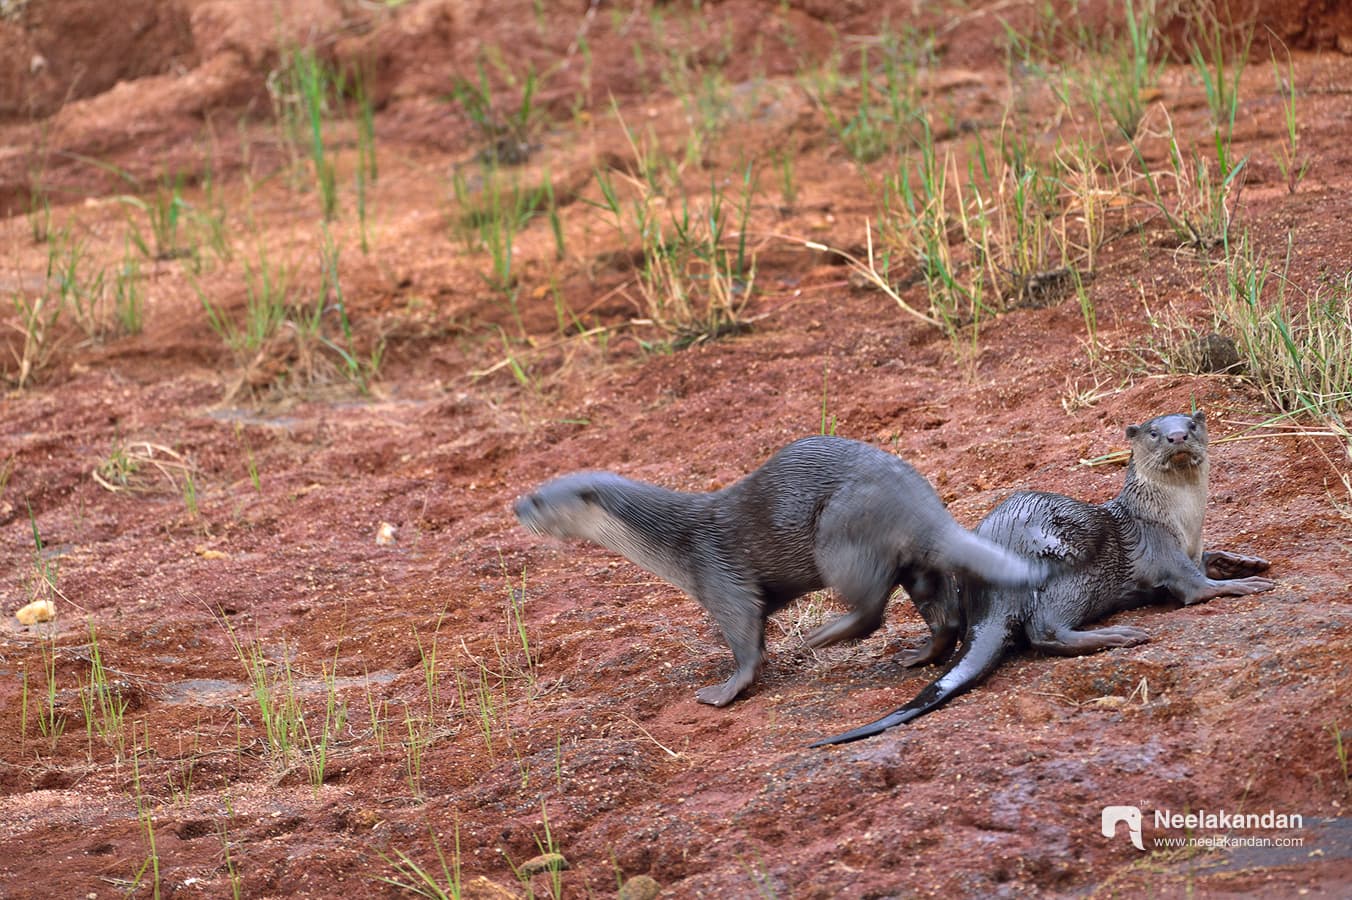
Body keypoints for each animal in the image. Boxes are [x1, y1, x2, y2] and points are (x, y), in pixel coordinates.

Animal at [514, 435, 1048, 707]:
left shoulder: (718, 577)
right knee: (944, 614)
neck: (678, 541)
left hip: (838, 535)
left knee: (871, 609)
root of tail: (920, 505)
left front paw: (725, 690)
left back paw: (822, 637)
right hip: (916, 565)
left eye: (540, 499)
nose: (517, 506)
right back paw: (917, 656)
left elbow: (746, 639)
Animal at [813, 411, 1275, 746]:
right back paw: (1120, 635)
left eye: (1191, 426)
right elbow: (1197, 588)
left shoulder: (1194, 548)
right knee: (1044, 631)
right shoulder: (1164, 552)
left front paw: (1246, 563)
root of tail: (989, 592)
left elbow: (1211, 558)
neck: (1179, 521)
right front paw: (1243, 586)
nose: (1178, 437)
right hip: (1073, 574)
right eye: (1154, 433)